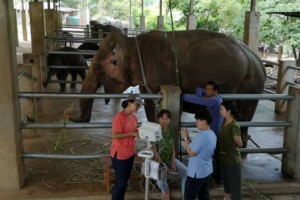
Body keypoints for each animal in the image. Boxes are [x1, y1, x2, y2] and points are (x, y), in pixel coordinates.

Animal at [69, 30, 266, 147]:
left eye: (97, 67)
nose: (72, 117)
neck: (132, 43)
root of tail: (258, 60)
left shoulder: (162, 72)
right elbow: (149, 105)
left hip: (252, 84)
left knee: (245, 116)